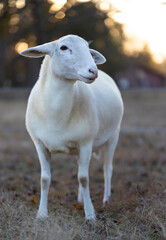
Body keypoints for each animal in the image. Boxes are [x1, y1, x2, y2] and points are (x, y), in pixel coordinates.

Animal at [20, 34, 123, 220]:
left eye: (88, 49)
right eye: (63, 47)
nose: (93, 71)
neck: (56, 116)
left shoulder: (86, 143)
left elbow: (84, 178)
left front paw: (90, 215)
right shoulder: (39, 144)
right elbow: (45, 179)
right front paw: (41, 214)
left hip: (114, 135)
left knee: (107, 169)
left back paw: (106, 200)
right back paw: (80, 199)